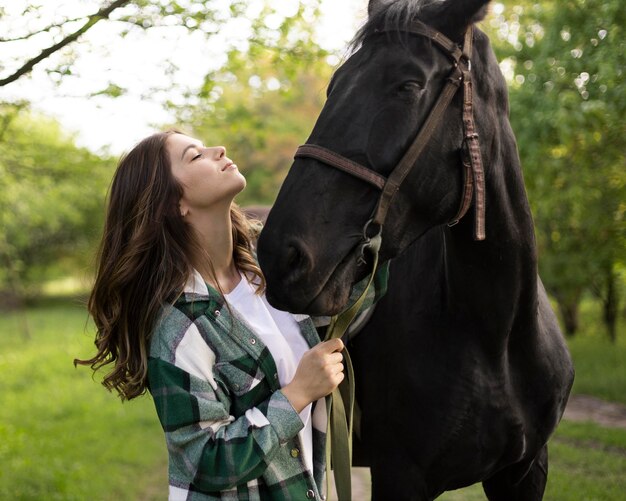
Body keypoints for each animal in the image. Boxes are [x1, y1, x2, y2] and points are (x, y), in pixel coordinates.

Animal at [256, 1, 572, 498]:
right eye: (333, 86)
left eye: (408, 85)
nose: (280, 256)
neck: (495, 337)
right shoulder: (400, 476)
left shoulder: (526, 470)